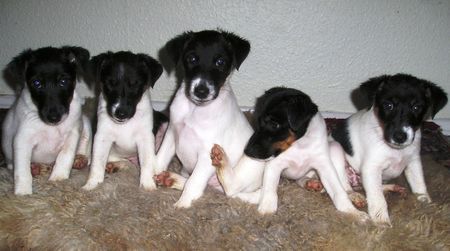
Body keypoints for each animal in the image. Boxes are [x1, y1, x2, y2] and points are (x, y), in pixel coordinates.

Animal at [0, 47, 92, 196]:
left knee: (85, 149)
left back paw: (80, 159)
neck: (51, 127)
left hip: (86, 123)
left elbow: (65, 156)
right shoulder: (22, 140)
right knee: (12, 165)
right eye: (37, 83)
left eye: (63, 81)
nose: (54, 118)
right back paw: (34, 167)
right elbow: (22, 171)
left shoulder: (73, 133)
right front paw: (23, 193)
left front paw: (58, 178)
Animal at [82, 52, 163, 191]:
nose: (121, 113)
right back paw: (115, 165)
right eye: (109, 83)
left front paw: (147, 185)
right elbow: (97, 162)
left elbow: (147, 161)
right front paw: (92, 184)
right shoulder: (102, 137)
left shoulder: (146, 137)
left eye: (135, 84)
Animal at [154, 29, 253, 208]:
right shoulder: (172, 133)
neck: (195, 110)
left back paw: (222, 161)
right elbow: (160, 158)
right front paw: (148, 180)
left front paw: (182, 205)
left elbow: (193, 183)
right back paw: (171, 178)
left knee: (231, 187)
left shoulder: (206, 153)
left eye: (220, 62)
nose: (201, 91)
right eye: (192, 58)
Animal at [209, 87, 368, 219]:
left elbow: (338, 192)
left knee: (343, 184)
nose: (247, 152)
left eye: (274, 124)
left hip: (335, 148)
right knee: (233, 187)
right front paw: (266, 211)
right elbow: (270, 191)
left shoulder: (324, 166)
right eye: (257, 121)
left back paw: (348, 194)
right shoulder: (274, 164)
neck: (300, 145)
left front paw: (352, 212)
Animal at [328, 73, 448, 226]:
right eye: (388, 105)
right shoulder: (371, 167)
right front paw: (381, 220)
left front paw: (425, 204)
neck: (396, 150)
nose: (400, 137)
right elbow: (377, 197)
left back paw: (390, 188)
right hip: (335, 150)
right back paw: (354, 196)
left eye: (416, 107)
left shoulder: (413, 162)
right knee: (345, 185)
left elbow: (419, 185)